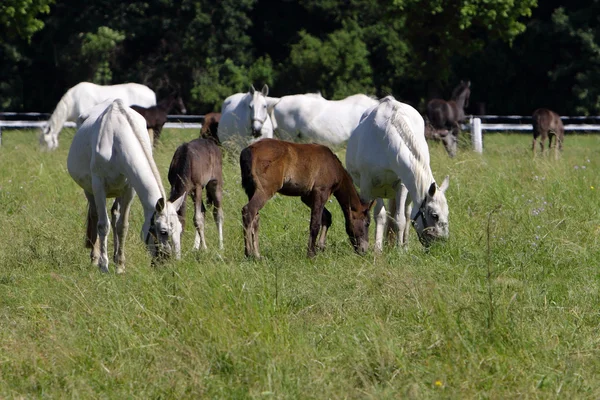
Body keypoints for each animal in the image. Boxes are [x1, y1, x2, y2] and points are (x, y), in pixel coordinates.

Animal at [68, 100, 185, 276]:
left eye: (180, 230)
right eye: (163, 231)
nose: (169, 264)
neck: (116, 140)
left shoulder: (129, 189)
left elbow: (122, 226)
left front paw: (120, 266)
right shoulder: (98, 186)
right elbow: (103, 225)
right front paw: (103, 266)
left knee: (115, 215)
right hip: (89, 190)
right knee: (95, 216)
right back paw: (95, 258)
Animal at [240, 139, 372, 258]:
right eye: (367, 223)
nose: (364, 250)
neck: (334, 166)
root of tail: (248, 150)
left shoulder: (307, 196)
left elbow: (327, 216)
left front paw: (320, 246)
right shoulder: (321, 191)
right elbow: (315, 223)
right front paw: (311, 254)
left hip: (251, 190)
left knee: (255, 219)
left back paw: (257, 254)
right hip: (265, 190)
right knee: (248, 211)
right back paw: (249, 253)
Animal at [344, 94, 448, 250]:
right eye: (434, 215)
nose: (441, 245)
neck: (386, 142)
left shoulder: (402, 185)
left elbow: (401, 219)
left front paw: (400, 250)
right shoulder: (369, 186)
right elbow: (378, 216)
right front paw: (377, 249)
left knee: (407, 213)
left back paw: (405, 246)